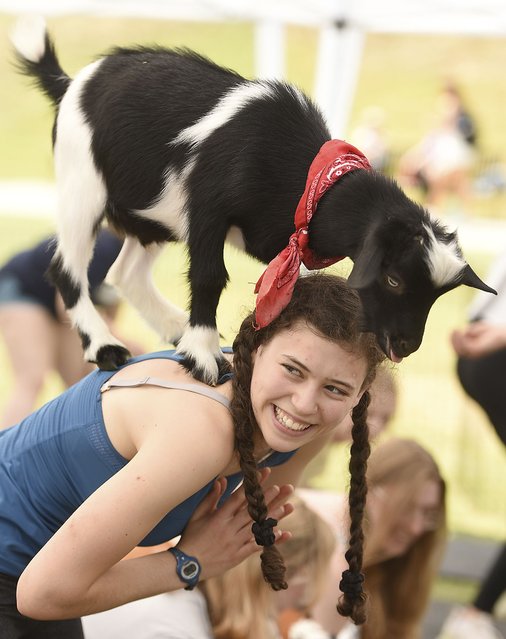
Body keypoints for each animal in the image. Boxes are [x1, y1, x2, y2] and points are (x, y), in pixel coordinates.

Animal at [10, 16, 494, 384]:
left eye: (437, 295)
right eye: (393, 279)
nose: (406, 344)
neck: (309, 179)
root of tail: (70, 82)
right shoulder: (206, 210)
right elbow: (209, 277)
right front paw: (204, 356)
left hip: (154, 219)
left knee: (125, 272)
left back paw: (173, 328)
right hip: (82, 185)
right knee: (66, 268)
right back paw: (106, 346)